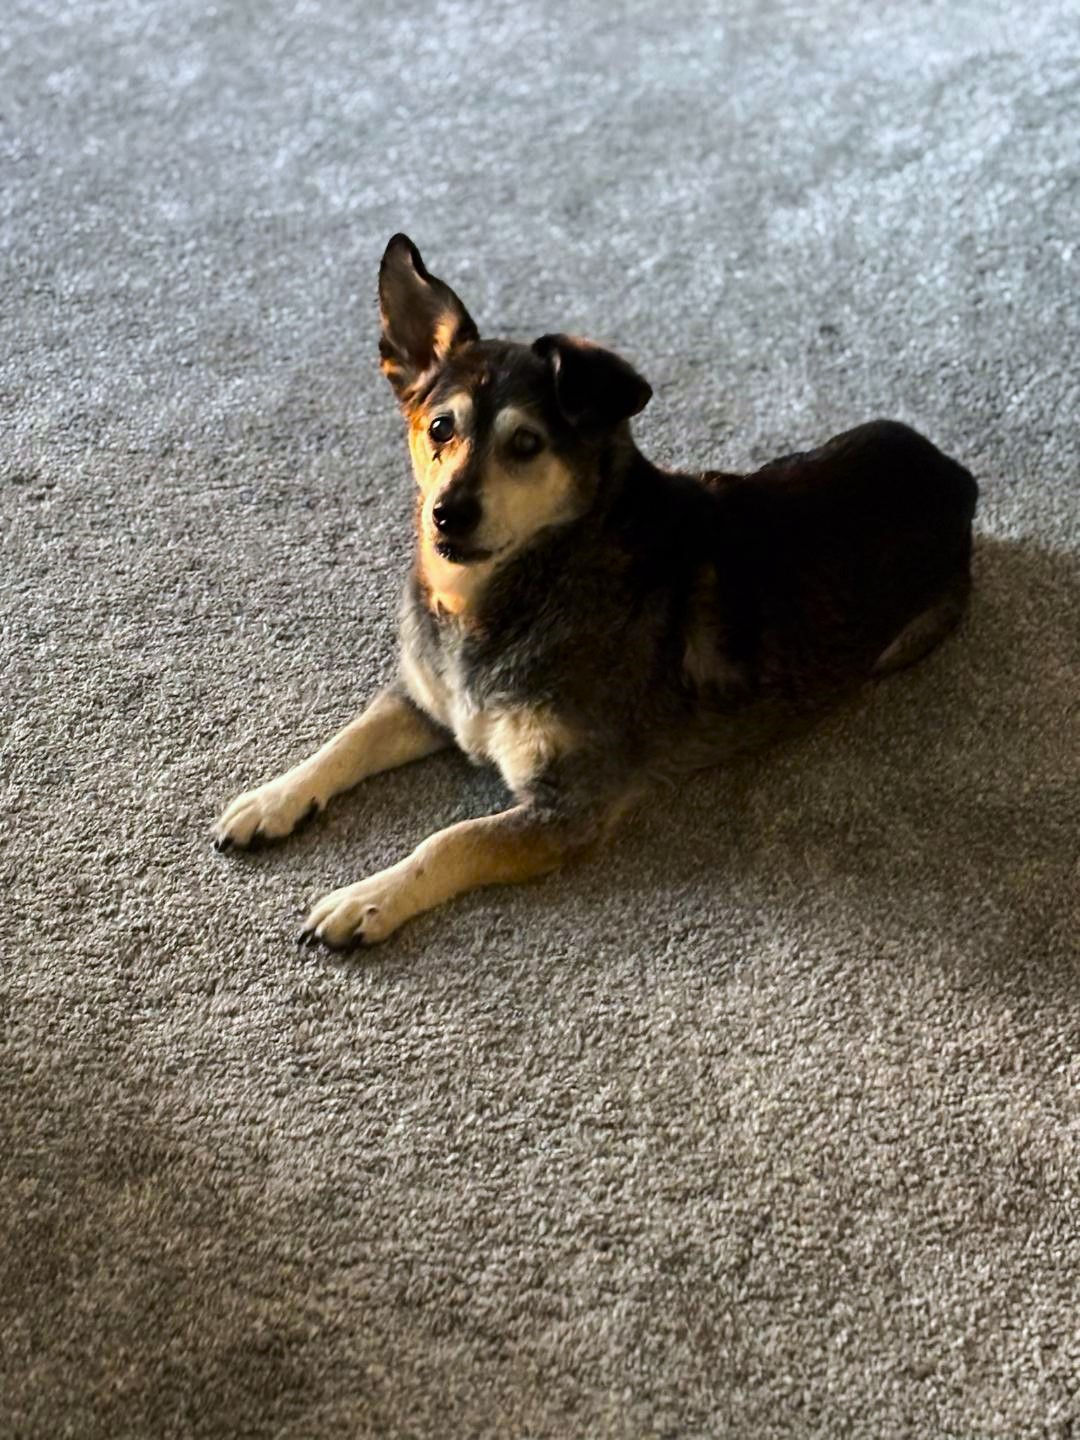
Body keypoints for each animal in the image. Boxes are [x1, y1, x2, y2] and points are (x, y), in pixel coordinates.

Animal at [213, 233, 978, 948]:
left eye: (526, 444)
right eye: (440, 427)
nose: (447, 514)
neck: (512, 594)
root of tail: (955, 473)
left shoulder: (570, 802)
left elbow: (451, 841)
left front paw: (366, 899)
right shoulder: (426, 702)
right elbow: (347, 741)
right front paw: (271, 800)